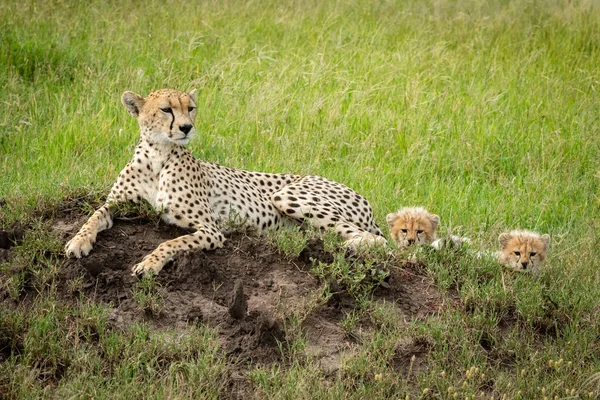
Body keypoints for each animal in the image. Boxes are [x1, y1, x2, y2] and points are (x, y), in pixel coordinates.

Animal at [65, 87, 384, 276]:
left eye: (190, 108)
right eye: (167, 109)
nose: (186, 127)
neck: (158, 155)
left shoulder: (211, 230)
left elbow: (172, 242)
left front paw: (150, 262)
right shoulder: (117, 203)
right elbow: (94, 215)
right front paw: (78, 242)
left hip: (288, 195)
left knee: (376, 240)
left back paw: (350, 247)